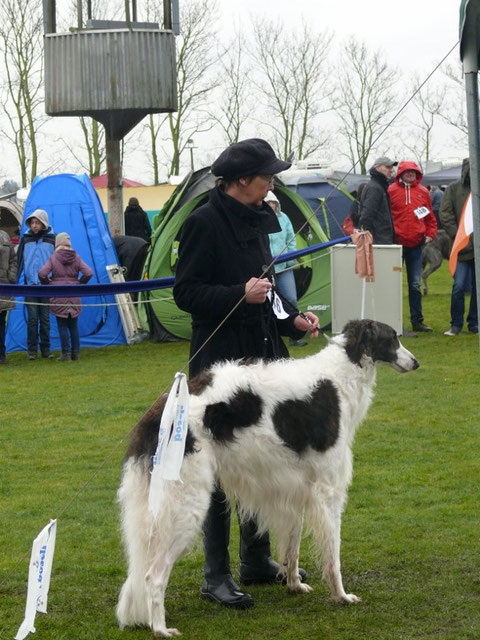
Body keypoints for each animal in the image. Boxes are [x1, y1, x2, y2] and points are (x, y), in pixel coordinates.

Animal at [115, 318, 416, 636]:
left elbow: (292, 548)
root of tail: (160, 412)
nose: (416, 362)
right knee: (153, 575)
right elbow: (333, 555)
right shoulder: (329, 490)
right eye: (393, 338)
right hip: (186, 505)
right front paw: (342, 596)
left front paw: (294, 584)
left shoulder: (297, 488)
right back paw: (160, 628)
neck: (340, 374)